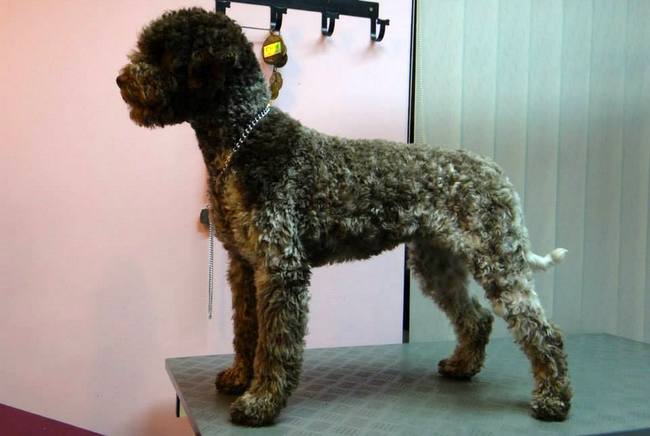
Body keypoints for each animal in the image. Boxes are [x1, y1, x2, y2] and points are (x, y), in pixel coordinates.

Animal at [117, 8, 572, 426]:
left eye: (163, 53)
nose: (121, 80)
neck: (243, 142)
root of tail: (494, 170)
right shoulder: (244, 266)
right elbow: (245, 330)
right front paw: (239, 377)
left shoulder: (281, 266)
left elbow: (274, 342)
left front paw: (262, 401)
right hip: (437, 262)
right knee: (476, 317)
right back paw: (463, 366)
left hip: (496, 261)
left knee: (542, 330)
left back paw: (553, 398)